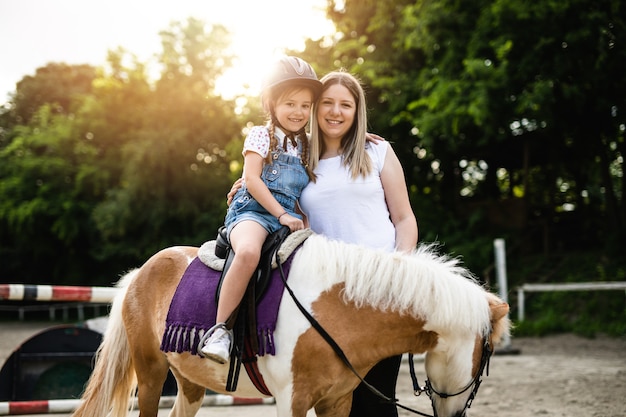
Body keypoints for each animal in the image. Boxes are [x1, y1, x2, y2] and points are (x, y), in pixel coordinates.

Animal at [72, 232, 508, 416]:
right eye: (486, 358)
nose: (455, 416)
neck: (336, 310)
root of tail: (140, 273)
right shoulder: (291, 399)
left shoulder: (337, 402)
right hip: (150, 374)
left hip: (190, 381)